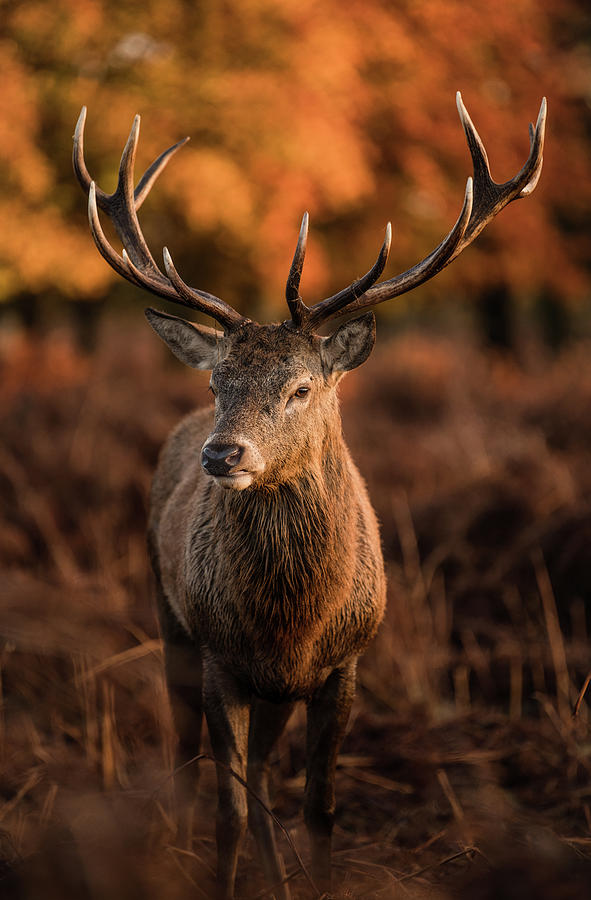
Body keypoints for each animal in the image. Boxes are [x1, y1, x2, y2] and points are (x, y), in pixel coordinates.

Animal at [73, 95, 544, 896]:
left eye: (300, 388)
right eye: (216, 381)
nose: (222, 454)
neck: (291, 622)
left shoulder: (345, 664)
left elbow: (319, 807)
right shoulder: (220, 658)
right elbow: (228, 809)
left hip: (270, 690)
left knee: (265, 772)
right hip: (168, 617)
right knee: (190, 762)